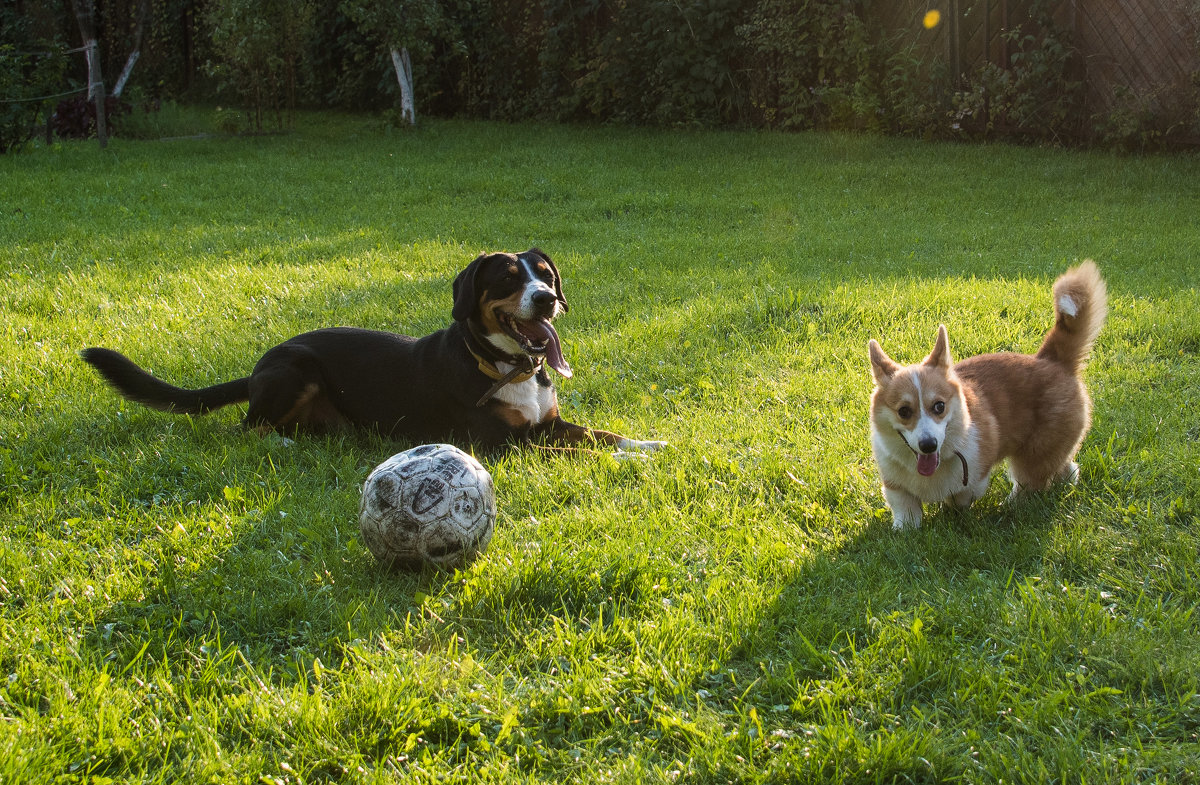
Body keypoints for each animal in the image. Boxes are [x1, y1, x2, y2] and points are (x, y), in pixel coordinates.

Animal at [82, 249, 667, 451]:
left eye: (545, 274)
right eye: (506, 278)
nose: (545, 299)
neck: (508, 367)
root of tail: (258, 364)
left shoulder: (549, 423)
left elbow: (599, 435)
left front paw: (649, 444)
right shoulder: (501, 443)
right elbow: (576, 449)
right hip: (296, 368)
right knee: (248, 429)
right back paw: (283, 446)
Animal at [868, 261, 1108, 532]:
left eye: (939, 406)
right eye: (904, 411)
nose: (928, 445)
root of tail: (1051, 360)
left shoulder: (975, 477)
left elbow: (960, 497)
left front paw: (953, 512)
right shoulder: (895, 486)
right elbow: (905, 508)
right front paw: (905, 530)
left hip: (1034, 453)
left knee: (1031, 481)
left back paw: (1012, 506)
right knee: (1066, 466)